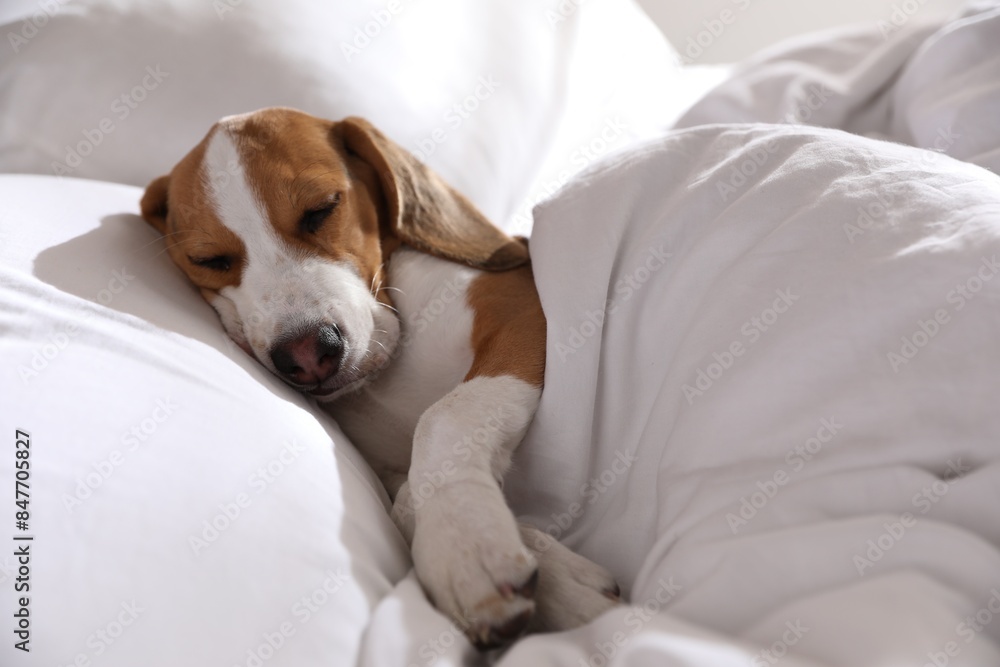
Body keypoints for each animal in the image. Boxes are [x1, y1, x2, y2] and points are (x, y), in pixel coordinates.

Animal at [141, 107, 620, 648]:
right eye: (210, 260)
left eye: (321, 209)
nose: (308, 354)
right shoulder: (387, 471)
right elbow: (406, 497)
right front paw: (556, 578)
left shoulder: (521, 310)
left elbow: (443, 417)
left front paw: (465, 543)